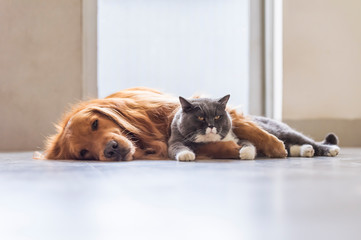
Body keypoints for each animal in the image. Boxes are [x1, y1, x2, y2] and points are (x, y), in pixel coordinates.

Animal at [44, 87, 286, 160]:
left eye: (95, 124)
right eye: (84, 152)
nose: (111, 150)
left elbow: (247, 128)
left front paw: (274, 145)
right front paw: (228, 148)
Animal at [167, 95, 338, 161]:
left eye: (217, 117)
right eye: (200, 118)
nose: (211, 126)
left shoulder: (238, 137)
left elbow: (249, 144)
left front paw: (245, 153)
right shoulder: (174, 140)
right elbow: (177, 148)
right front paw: (186, 155)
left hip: (282, 132)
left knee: (306, 140)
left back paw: (329, 150)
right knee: (290, 148)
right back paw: (306, 150)